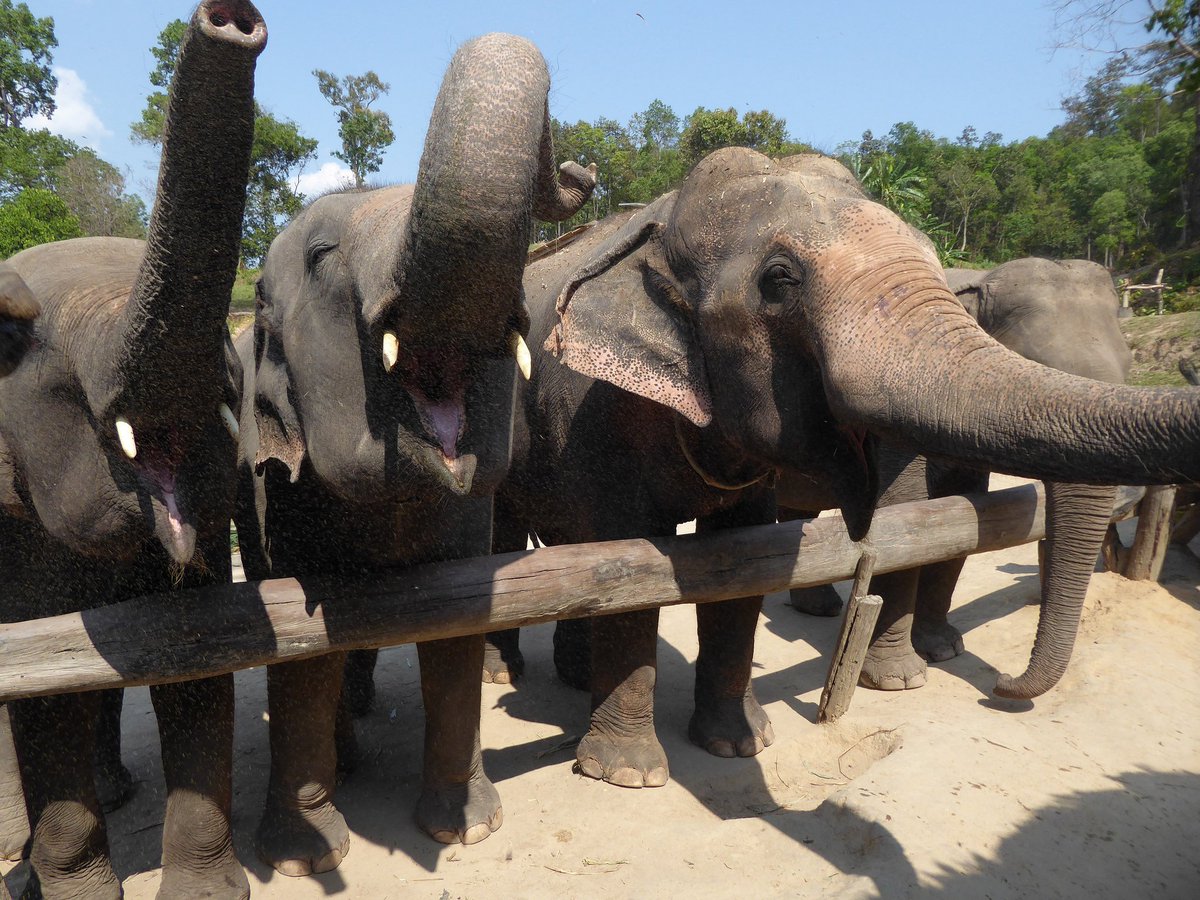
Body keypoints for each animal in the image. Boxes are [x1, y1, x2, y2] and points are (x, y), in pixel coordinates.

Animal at [0, 2, 265, 897]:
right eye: (9, 346)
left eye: (229, 364)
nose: (231, 18)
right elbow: (40, 687)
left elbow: (200, 650)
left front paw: (207, 891)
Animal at [232, 33, 595, 877]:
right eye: (323, 253)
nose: (579, 171)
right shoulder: (279, 503)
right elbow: (302, 653)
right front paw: (304, 857)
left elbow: (456, 628)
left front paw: (467, 828)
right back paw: (346, 753)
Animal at [781, 257, 1135, 697]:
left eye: (1129, 368)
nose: (1002, 680)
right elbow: (903, 511)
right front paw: (900, 679)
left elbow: (962, 514)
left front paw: (945, 650)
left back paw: (819, 607)